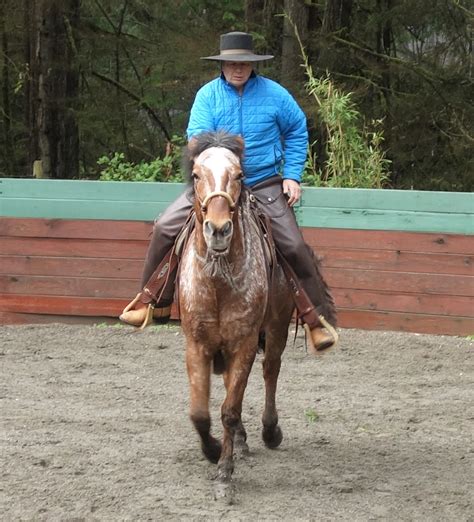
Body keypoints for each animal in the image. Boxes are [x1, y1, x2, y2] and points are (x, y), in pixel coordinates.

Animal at [179, 131, 294, 496]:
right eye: (196, 175)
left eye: (240, 175)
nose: (218, 229)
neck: (217, 283)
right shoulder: (197, 344)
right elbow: (200, 413)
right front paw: (213, 448)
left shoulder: (244, 343)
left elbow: (229, 410)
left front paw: (224, 472)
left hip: (276, 327)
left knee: (271, 370)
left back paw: (270, 431)